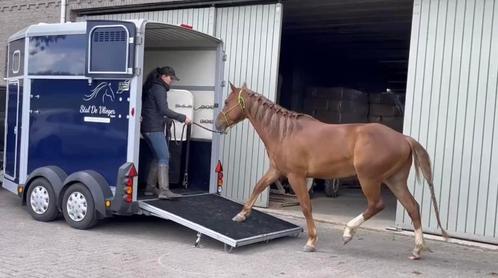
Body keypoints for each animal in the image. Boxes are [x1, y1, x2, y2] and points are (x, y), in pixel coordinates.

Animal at [214, 82, 448, 258]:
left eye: (227, 102)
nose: (217, 124)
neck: (285, 132)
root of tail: (404, 138)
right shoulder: (277, 171)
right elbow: (258, 186)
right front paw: (241, 215)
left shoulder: (296, 176)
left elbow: (306, 206)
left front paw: (311, 241)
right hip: (395, 180)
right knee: (413, 207)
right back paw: (417, 250)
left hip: (369, 179)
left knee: (376, 205)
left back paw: (348, 233)